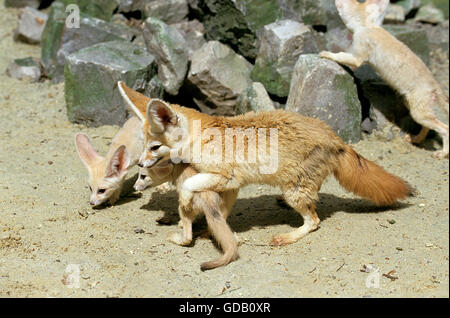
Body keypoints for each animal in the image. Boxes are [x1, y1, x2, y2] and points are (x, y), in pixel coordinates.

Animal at [117, 80, 412, 247]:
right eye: (144, 145)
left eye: (155, 147)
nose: (140, 163)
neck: (204, 136)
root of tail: (334, 136)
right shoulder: (232, 186)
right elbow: (222, 211)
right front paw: (210, 229)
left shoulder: (226, 176)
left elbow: (189, 185)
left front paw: (187, 206)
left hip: (294, 192)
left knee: (314, 221)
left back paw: (287, 237)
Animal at [318, 0, 448, 159]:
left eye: (351, 2)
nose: (335, 2)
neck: (369, 25)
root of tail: (435, 84)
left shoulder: (357, 55)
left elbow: (342, 55)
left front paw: (327, 54)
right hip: (414, 107)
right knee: (428, 127)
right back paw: (416, 139)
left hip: (419, 112)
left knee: (445, 128)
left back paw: (442, 153)